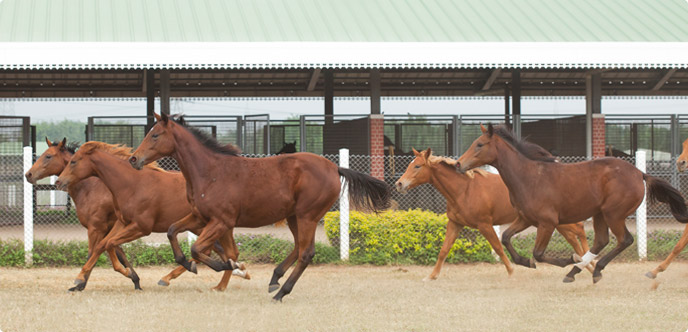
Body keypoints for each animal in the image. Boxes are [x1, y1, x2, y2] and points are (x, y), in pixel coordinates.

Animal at [55, 141, 247, 292]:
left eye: (73, 161)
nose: (58, 182)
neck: (131, 184)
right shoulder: (121, 223)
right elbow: (103, 245)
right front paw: (81, 278)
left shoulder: (141, 227)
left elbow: (108, 244)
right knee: (226, 251)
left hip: (210, 226)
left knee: (217, 251)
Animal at [126, 113, 390, 302]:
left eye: (156, 135)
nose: (133, 159)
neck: (210, 172)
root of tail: (335, 167)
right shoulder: (200, 217)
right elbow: (172, 232)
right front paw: (191, 266)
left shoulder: (221, 221)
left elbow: (200, 249)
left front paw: (227, 266)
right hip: (294, 216)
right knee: (298, 247)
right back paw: (274, 280)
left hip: (307, 216)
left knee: (306, 253)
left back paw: (281, 292)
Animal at [396, 148, 588, 280]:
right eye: (409, 165)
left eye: (417, 166)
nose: (399, 184)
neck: (464, 189)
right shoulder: (455, 223)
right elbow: (444, 250)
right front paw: (431, 276)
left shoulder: (485, 225)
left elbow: (498, 247)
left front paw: (512, 271)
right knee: (574, 237)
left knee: (579, 232)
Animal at [454, 124, 684, 282]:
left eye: (479, 144)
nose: (458, 164)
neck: (529, 177)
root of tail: (640, 173)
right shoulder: (526, 219)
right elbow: (506, 238)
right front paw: (526, 262)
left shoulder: (547, 223)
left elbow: (538, 254)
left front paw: (567, 260)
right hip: (600, 214)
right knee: (601, 240)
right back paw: (577, 271)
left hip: (614, 214)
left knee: (624, 240)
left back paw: (591, 268)